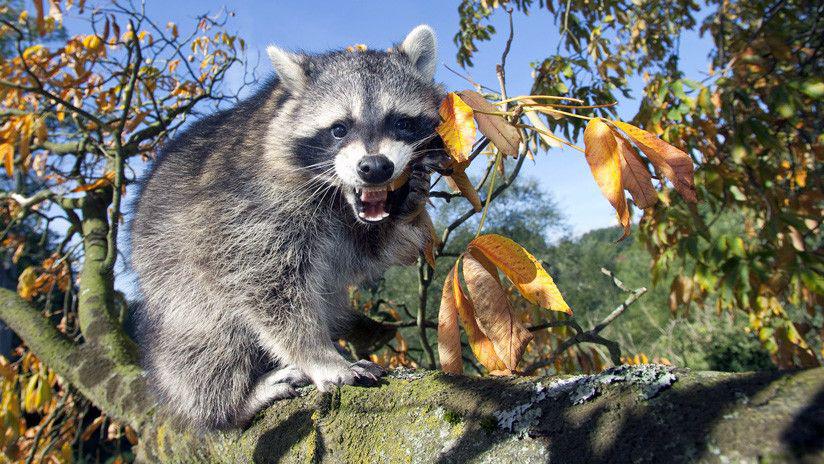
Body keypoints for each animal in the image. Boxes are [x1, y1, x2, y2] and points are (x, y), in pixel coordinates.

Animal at [131, 25, 448, 430]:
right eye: (338, 130)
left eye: (401, 122)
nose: (375, 168)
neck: (339, 198)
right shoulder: (248, 206)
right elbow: (265, 283)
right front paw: (319, 355)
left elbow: (356, 255)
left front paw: (403, 210)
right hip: (174, 288)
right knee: (207, 340)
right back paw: (230, 405)